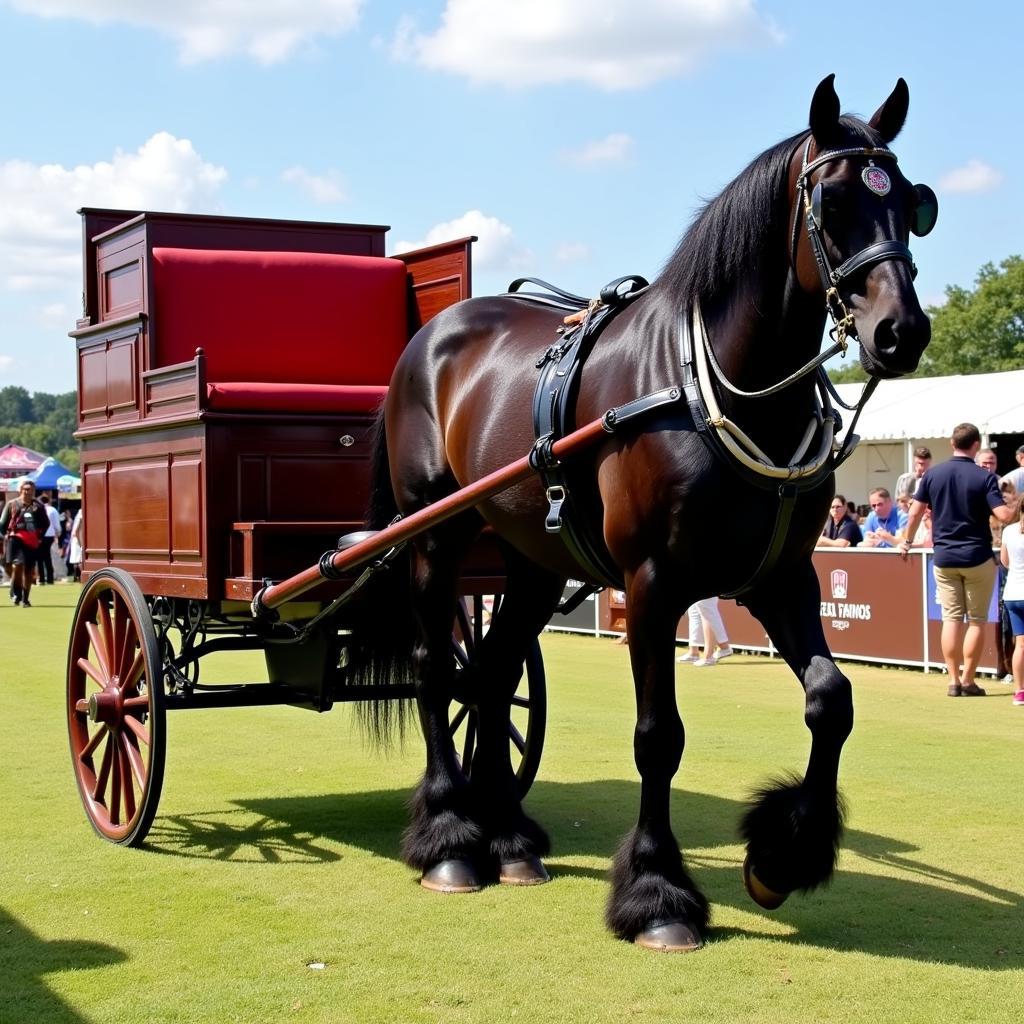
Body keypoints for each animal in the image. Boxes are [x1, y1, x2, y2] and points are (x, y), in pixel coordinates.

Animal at [352, 75, 937, 946]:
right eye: (831, 203)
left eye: (911, 202)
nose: (901, 331)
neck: (708, 386)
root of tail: (433, 334)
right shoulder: (654, 584)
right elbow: (659, 737)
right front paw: (658, 890)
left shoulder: (782, 577)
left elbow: (831, 700)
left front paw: (781, 855)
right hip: (435, 537)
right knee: (434, 670)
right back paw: (450, 837)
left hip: (530, 558)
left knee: (490, 675)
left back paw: (507, 837)